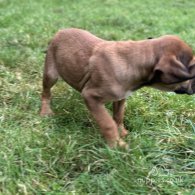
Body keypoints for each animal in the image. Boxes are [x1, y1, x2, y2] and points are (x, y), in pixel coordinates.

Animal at [40, 28, 195, 149]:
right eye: (193, 69)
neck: (133, 61)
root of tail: (60, 31)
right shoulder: (91, 96)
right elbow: (107, 123)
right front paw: (116, 145)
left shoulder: (121, 97)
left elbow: (118, 116)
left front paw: (122, 132)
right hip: (51, 74)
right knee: (46, 93)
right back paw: (45, 111)